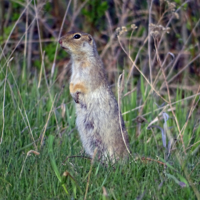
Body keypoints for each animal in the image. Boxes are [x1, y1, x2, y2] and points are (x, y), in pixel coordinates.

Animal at [58, 31, 129, 162]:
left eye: (77, 36)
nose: (59, 40)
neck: (79, 60)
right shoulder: (73, 74)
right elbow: (71, 83)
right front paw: (72, 94)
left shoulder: (90, 72)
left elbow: (82, 85)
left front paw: (75, 94)